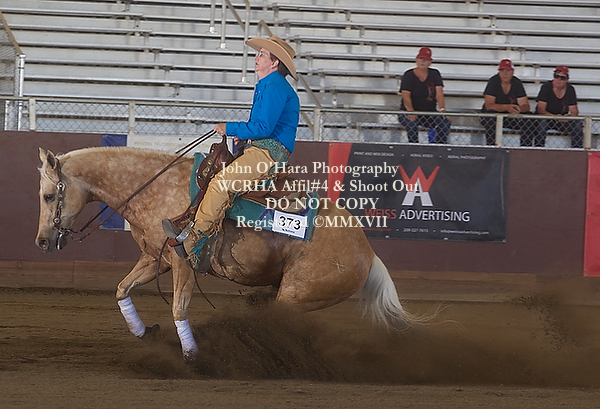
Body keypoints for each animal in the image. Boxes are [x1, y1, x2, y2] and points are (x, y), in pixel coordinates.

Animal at [36, 145, 417, 362]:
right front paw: (145, 333)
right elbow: (121, 289)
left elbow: (178, 308)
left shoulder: (182, 261)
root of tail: (367, 253)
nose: (40, 241)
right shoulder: (155, 259)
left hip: (297, 295)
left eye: (48, 195)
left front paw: (191, 354)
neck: (154, 187)